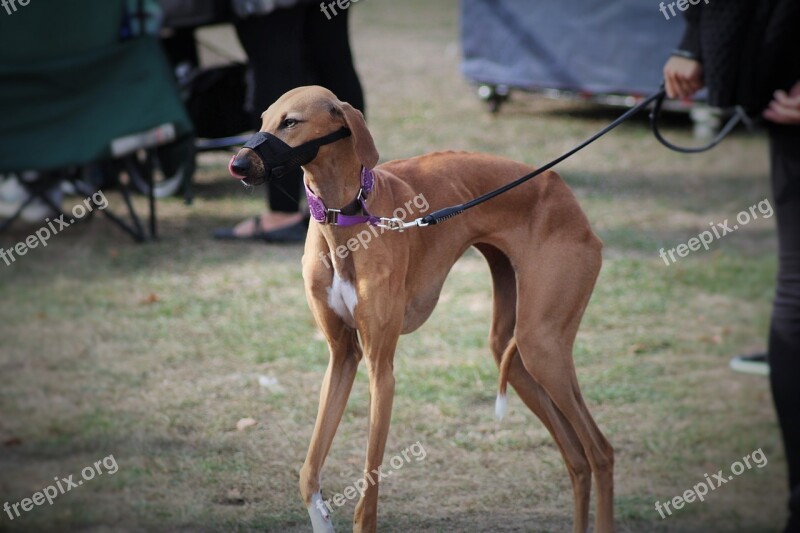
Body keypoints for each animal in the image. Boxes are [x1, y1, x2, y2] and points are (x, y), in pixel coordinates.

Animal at [231, 85, 612, 528]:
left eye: (291, 122)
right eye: (261, 120)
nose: (237, 164)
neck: (348, 216)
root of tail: (562, 189)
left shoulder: (381, 369)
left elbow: (368, 498)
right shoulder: (342, 357)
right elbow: (308, 472)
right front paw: (321, 518)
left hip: (541, 345)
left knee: (600, 452)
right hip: (515, 352)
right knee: (576, 458)